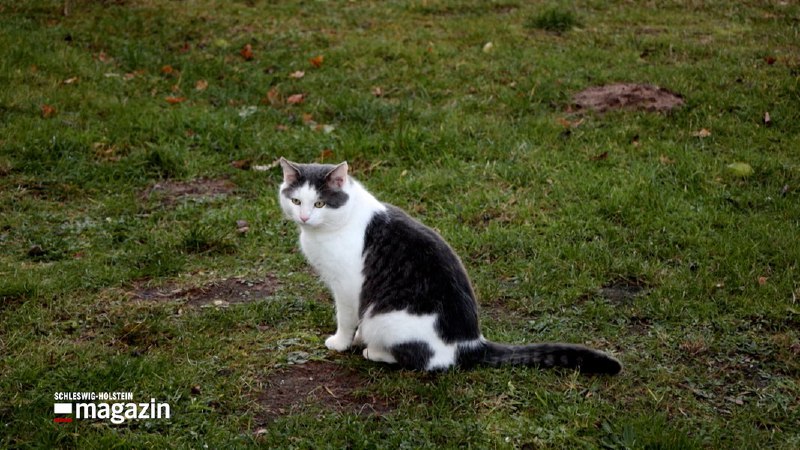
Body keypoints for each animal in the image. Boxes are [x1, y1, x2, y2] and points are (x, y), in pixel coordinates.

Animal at [278, 158, 620, 376]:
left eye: (320, 203)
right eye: (296, 202)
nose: (304, 217)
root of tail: (471, 342)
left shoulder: (347, 288)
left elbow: (345, 319)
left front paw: (341, 342)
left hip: (385, 318)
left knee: (424, 361)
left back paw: (373, 350)